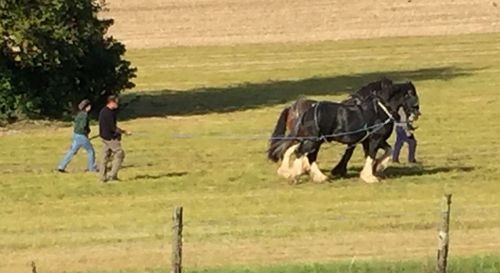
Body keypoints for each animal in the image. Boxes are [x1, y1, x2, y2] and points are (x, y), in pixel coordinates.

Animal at [268, 82, 420, 182]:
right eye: (413, 95)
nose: (417, 114)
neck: (379, 110)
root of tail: (305, 110)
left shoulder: (372, 140)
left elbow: (385, 151)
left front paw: (377, 167)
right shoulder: (374, 139)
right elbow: (371, 155)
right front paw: (370, 176)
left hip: (314, 140)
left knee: (303, 153)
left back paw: (317, 176)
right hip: (313, 140)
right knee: (300, 152)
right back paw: (295, 173)